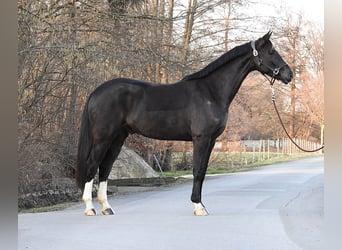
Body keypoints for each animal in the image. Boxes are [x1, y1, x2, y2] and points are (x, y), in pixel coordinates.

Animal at [76, 30, 292, 215]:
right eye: (272, 51)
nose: (289, 74)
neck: (210, 92)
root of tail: (96, 92)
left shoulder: (211, 140)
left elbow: (202, 171)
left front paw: (201, 204)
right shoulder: (201, 138)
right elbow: (197, 170)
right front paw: (198, 207)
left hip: (118, 138)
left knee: (105, 167)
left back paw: (106, 207)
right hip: (103, 138)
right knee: (92, 165)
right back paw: (89, 207)